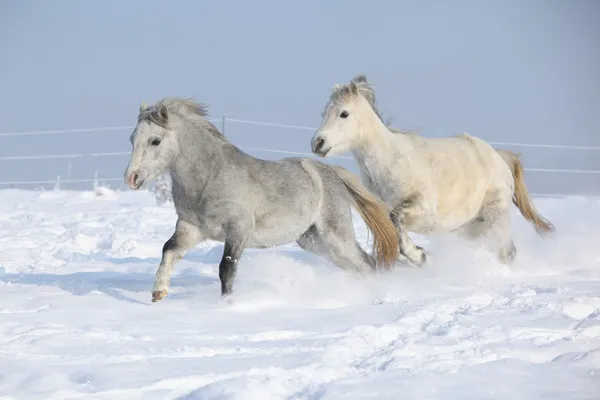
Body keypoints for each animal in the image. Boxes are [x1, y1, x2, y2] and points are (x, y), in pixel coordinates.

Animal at [312, 76, 556, 268]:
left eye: (344, 113)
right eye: (324, 112)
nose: (317, 143)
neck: (389, 162)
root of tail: (498, 157)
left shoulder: (421, 208)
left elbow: (396, 220)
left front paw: (420, 256)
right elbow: (393, 238)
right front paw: (417, 257)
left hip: (496, 216)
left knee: (507, 251)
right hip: (472, 227)